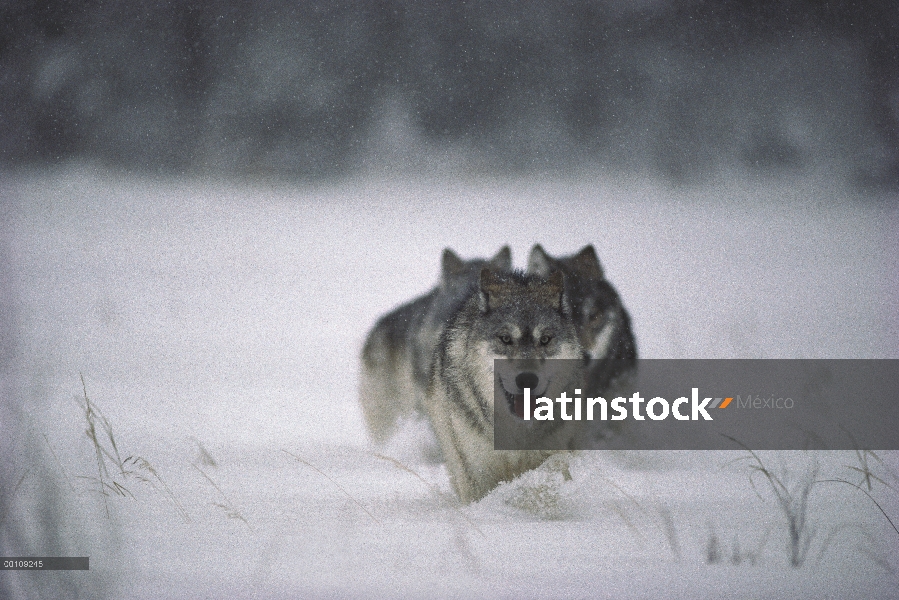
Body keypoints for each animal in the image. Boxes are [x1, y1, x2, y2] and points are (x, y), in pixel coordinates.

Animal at [426, 270, 588, 504]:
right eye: (505, 339)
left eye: (545, 340)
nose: (527, 380)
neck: (517, 429)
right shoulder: (478, 470)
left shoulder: (552, 453)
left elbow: (549, 476)